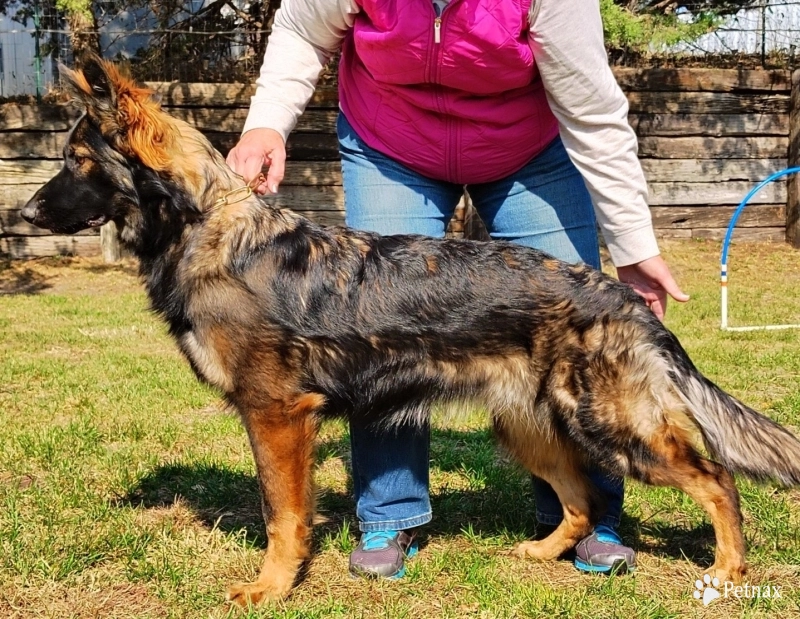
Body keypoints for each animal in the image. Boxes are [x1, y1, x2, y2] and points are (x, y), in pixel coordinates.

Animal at [21, 58, 800, 604]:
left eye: (78, 162)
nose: (23, 215)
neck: (208, 226)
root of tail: (625, 296)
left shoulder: (276, 415)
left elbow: (281, 515)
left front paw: (271, 586)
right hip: (528, 427)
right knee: (580, 496)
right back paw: (545, 552)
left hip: (611, 425)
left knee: (715, 478)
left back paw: (728, 567)